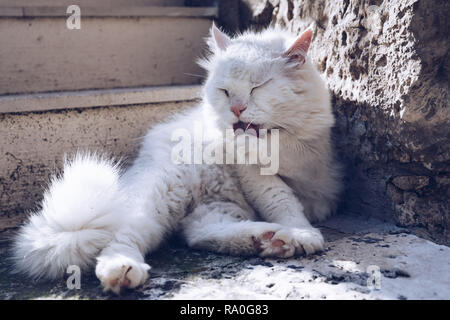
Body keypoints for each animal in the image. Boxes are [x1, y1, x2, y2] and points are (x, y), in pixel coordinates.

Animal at [12, 25, 342, 296]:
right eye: (225, 91)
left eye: (257, 87)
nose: (236, 109)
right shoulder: (255, 175)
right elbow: (281, 199)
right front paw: (303, 234)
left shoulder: (314, 170)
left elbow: (291, 193)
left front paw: (297, 232)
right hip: (158, 198)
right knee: (123, 239)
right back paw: (122, 272)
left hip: (215, 207)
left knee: (200, 236)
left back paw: (269, 240)